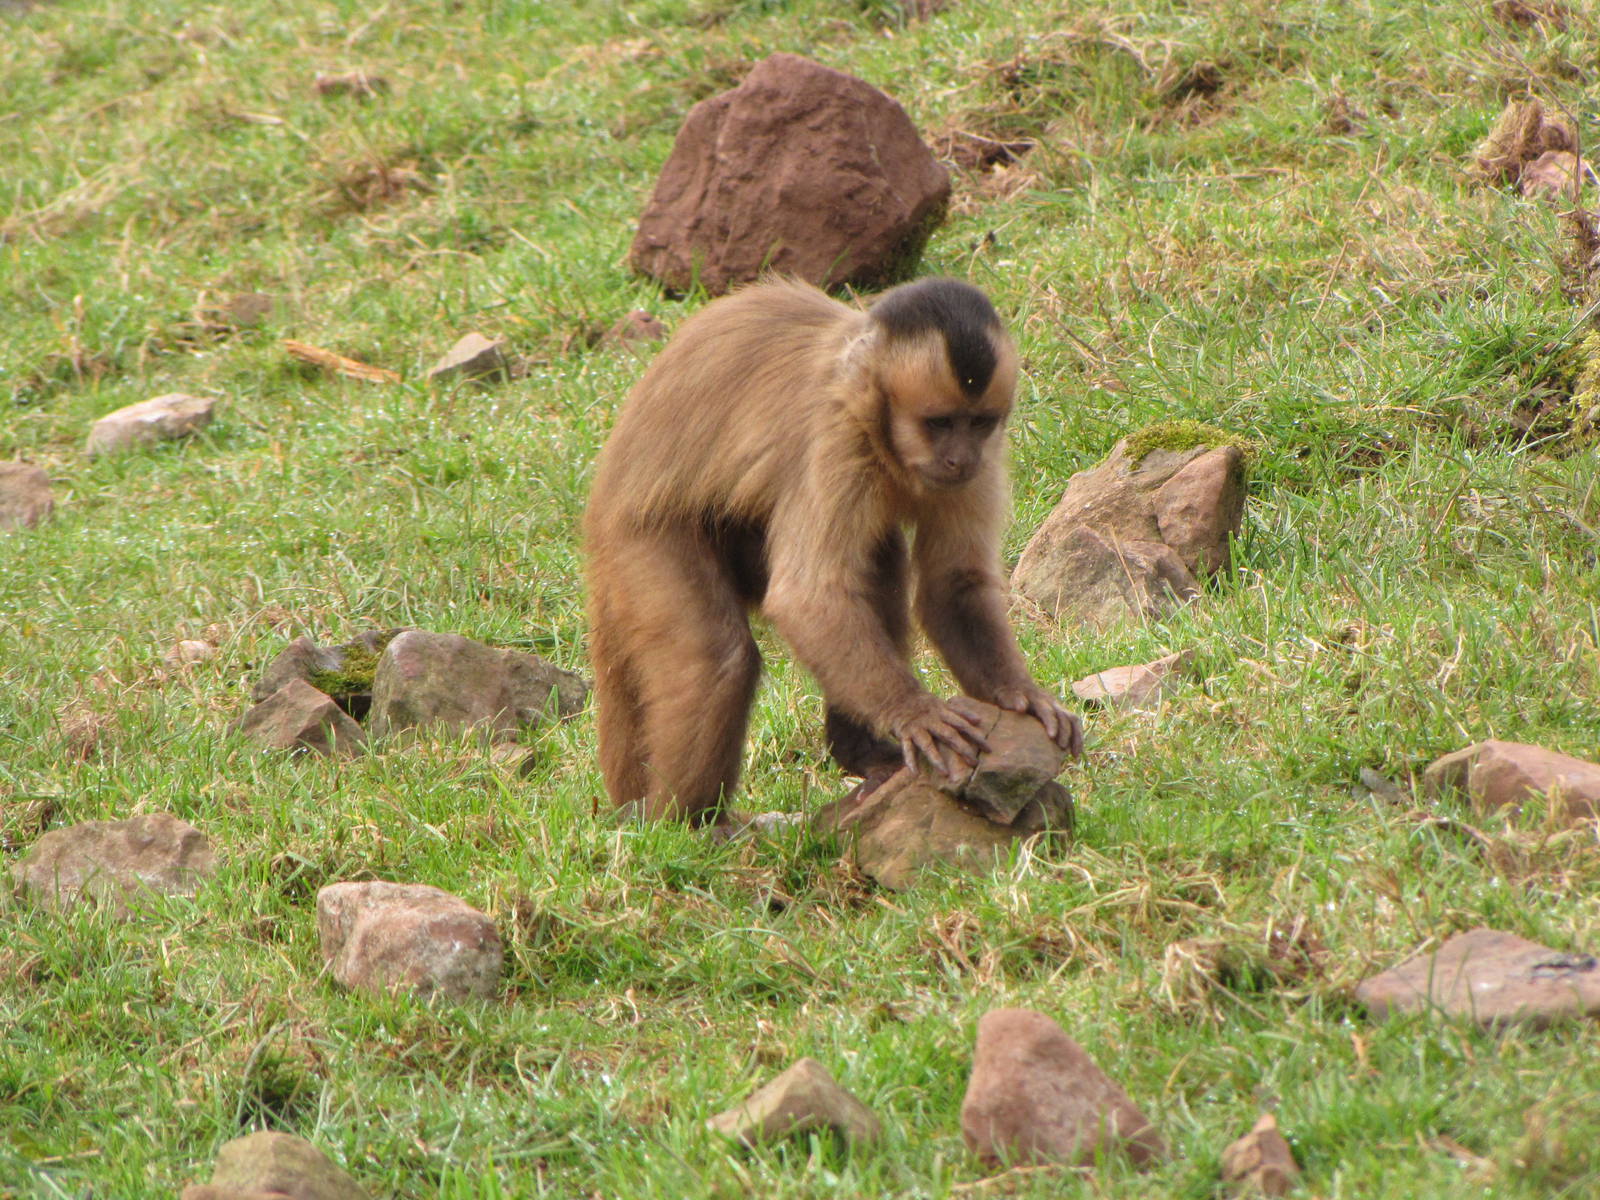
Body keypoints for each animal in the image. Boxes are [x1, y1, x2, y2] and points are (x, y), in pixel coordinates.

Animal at [582, 276, 1081, 823]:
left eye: (979, 423)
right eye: (939, 423)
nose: (959, 458)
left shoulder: (984, 460)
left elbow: (953, 585)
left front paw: (1020, 694)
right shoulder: (835, 438)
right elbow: (806, 596)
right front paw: (915, 711)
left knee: (878, 563)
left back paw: (859, 753)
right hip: (639, 540)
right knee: (715, 655)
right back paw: (688, 825)